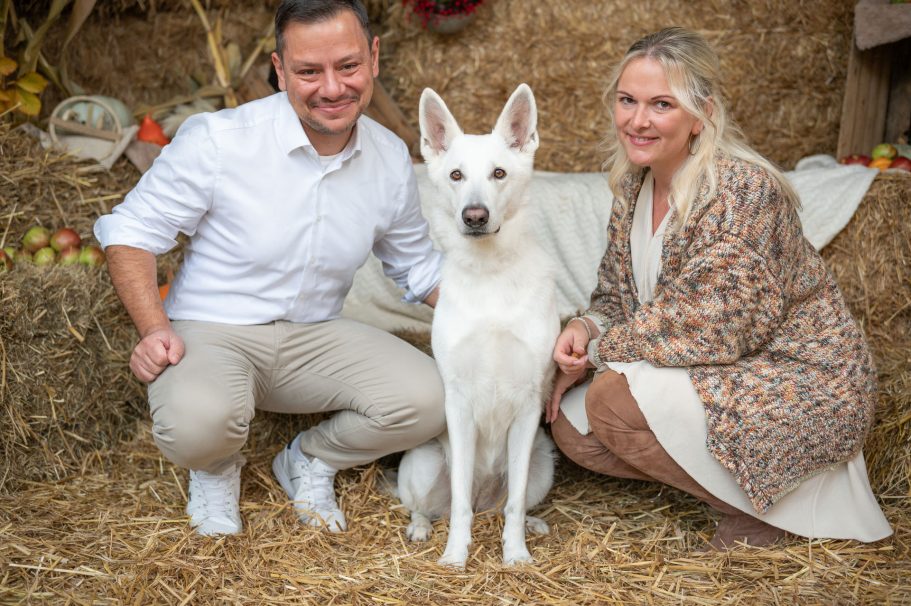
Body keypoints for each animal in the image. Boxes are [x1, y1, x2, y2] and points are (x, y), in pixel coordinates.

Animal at [400, 83, 564, 568]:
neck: (491, 272)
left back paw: (530, 524)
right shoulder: (457, 402)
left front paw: (516, 553)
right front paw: (455, 556)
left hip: (543, 461)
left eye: (499, 173)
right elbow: (458, 503)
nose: (474, 216)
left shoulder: (528, 404)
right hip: (422, 464)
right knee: (429, 505)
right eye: (456, 175)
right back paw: (421, 528)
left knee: (509, 503)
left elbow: (514, 504)